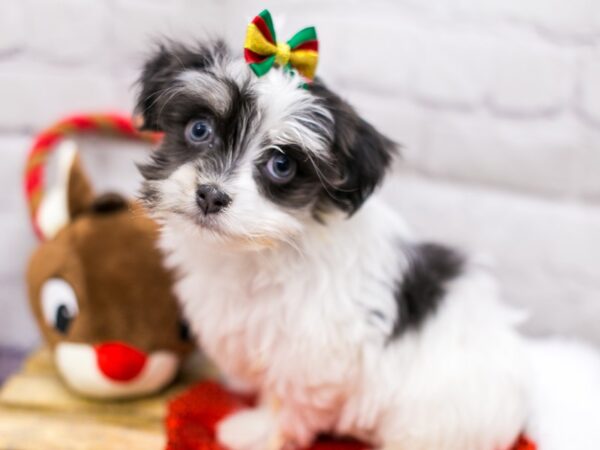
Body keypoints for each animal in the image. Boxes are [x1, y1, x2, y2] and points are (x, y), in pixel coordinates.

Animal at [135, 40, 600, 448]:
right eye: (199, 129)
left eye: (281, 165)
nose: (211, 195)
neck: (264, 249)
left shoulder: (313, 351)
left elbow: (289, 399)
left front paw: (259, 431)